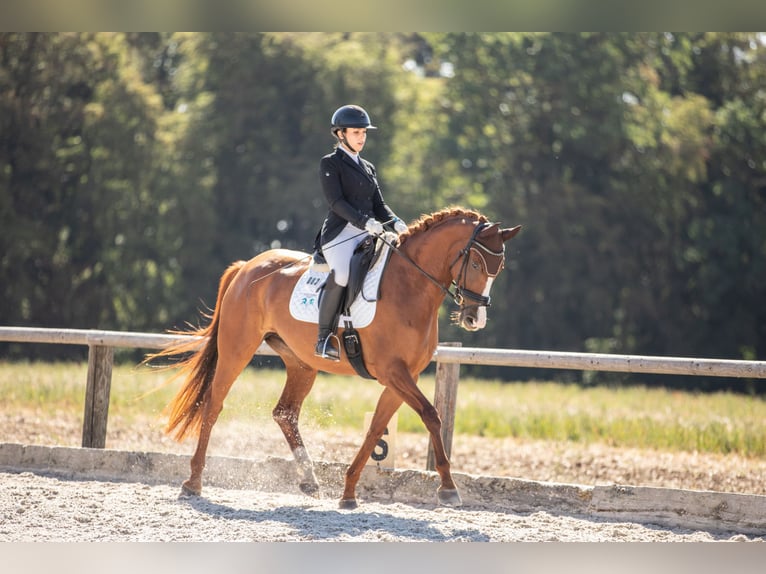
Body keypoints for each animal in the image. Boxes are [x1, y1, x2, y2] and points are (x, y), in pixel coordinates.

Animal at [148, 207, 521, 509]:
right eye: (476, 262)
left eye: (499, 267)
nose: (474, 319)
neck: (409, 287)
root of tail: (247, 266)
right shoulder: (394, 372)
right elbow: (431, 415)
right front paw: (448, 488)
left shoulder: (402, 376)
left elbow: (376, 429)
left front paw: (349, 492)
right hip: (237, 349)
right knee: (213, 404)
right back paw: (193, 483)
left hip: (301, 363)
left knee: (285, 413)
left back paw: (309, 481)